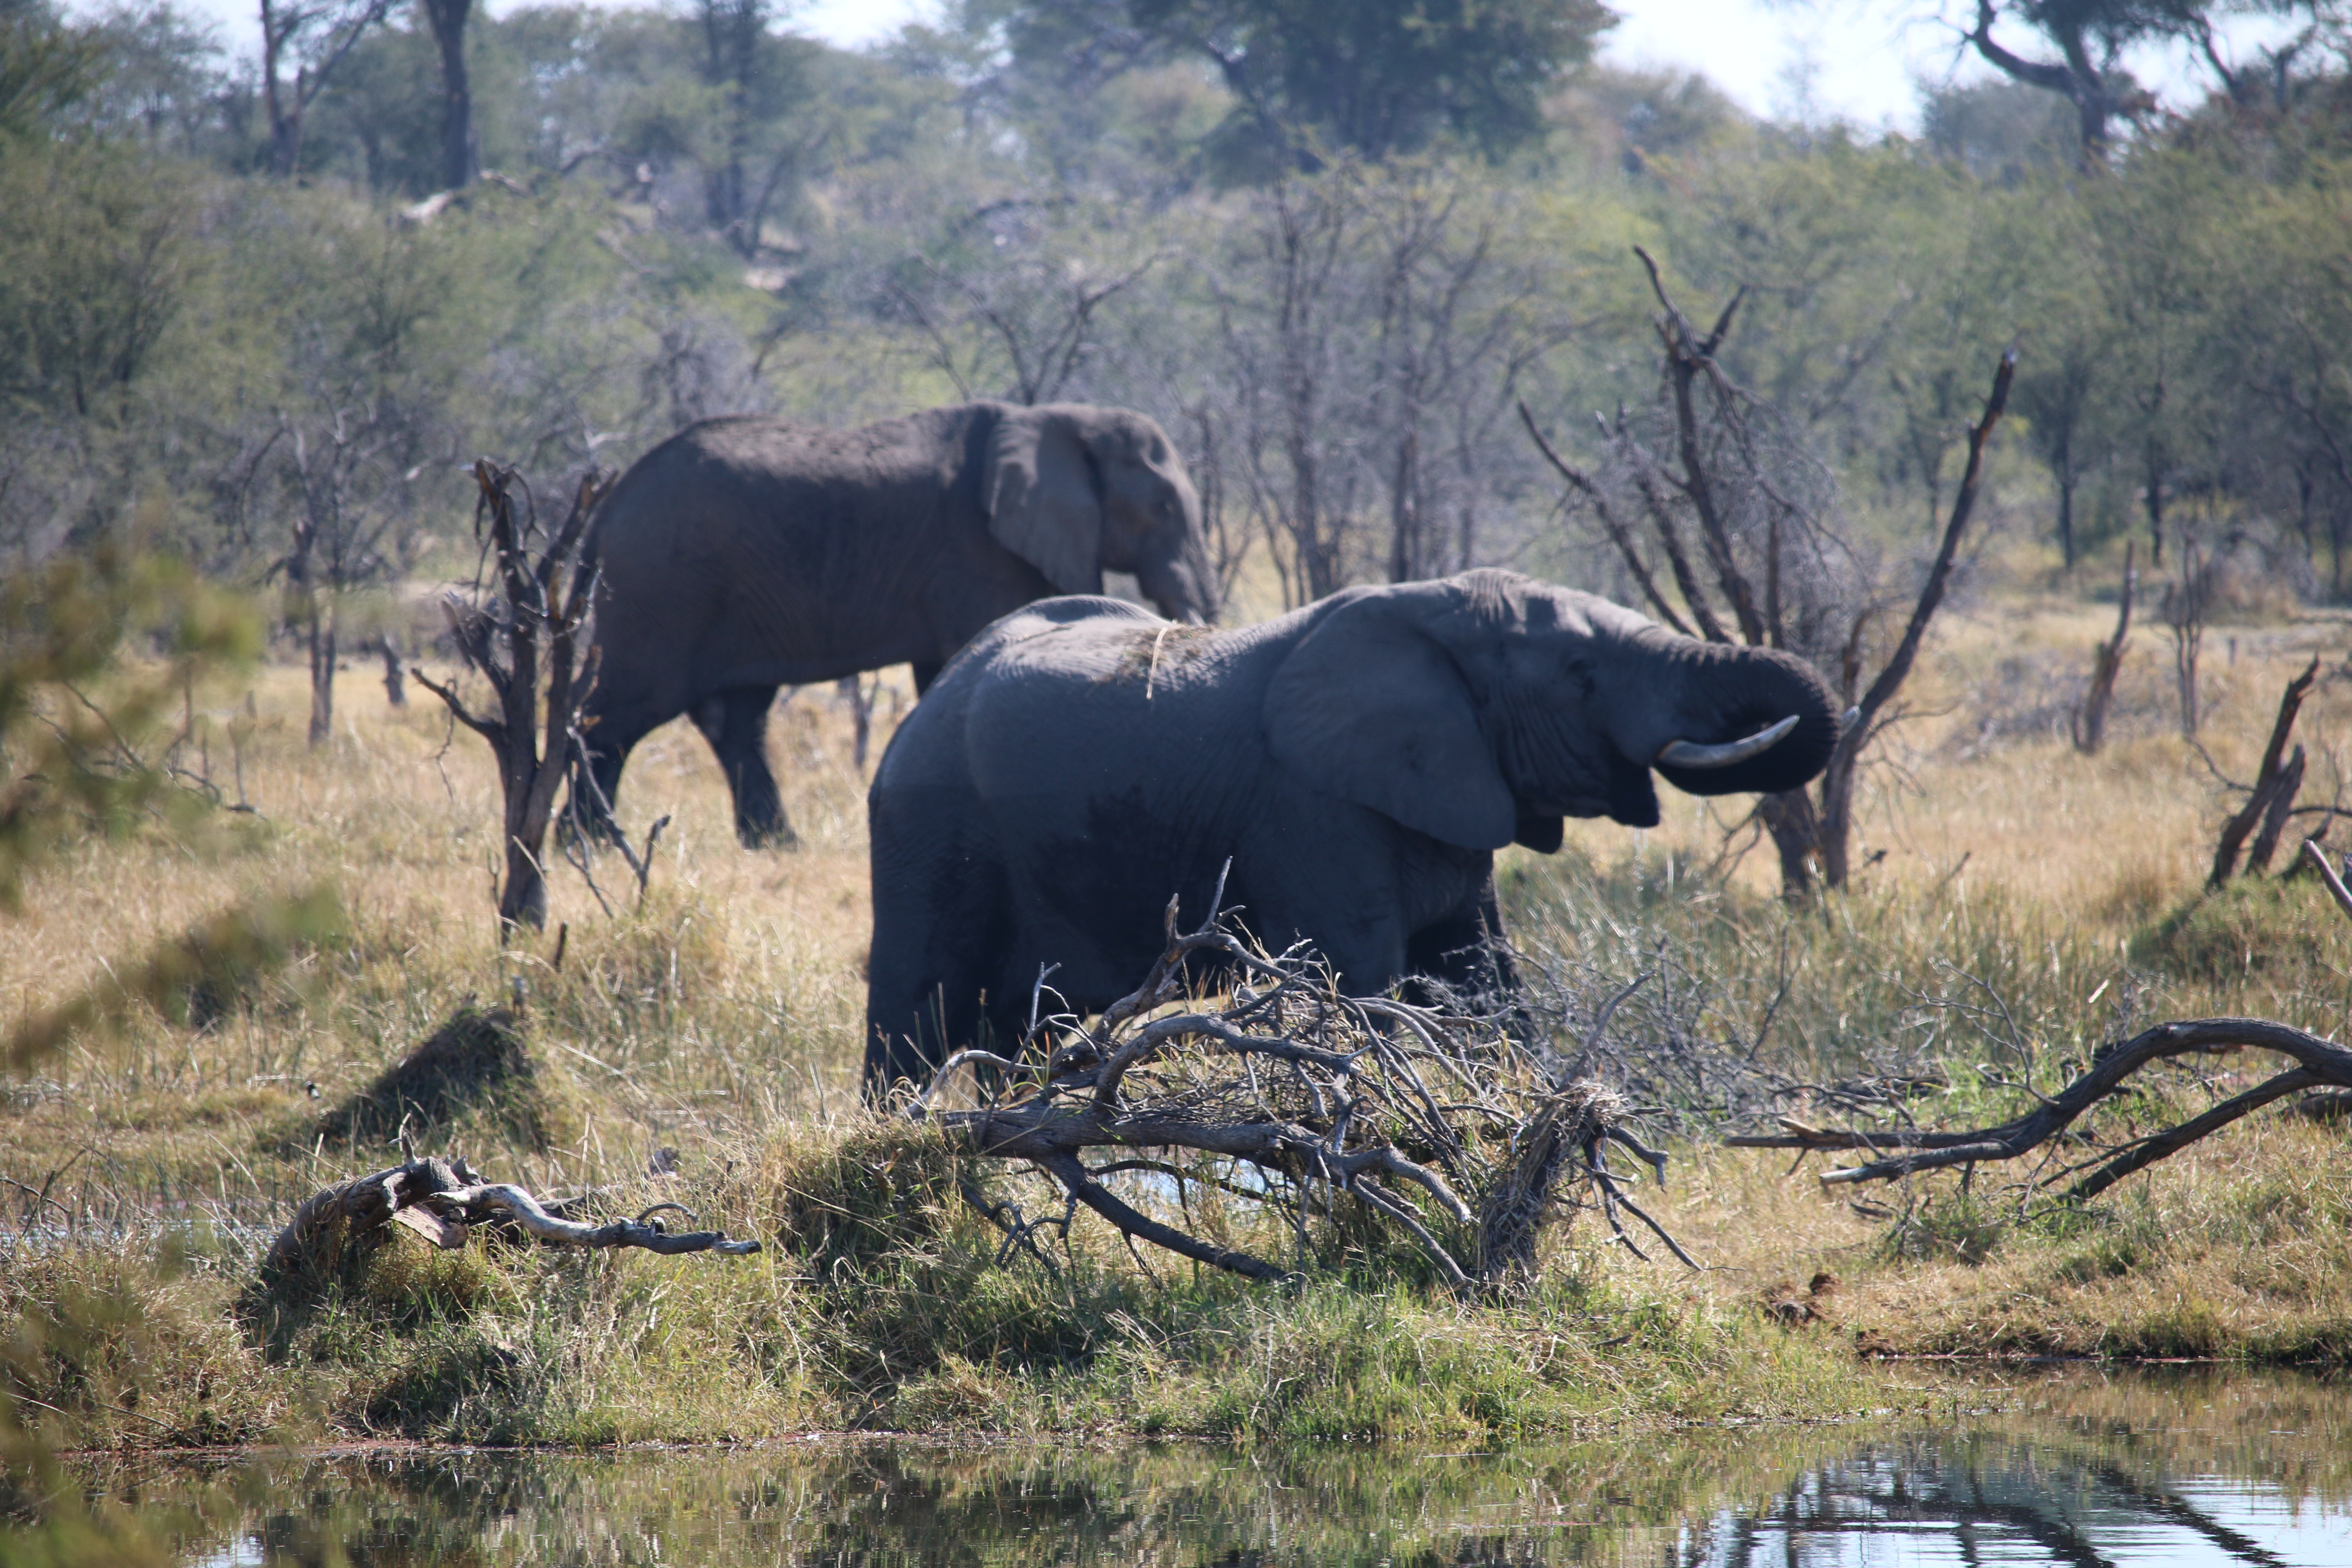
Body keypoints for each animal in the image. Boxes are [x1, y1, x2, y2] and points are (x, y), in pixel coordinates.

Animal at [579, 399, 1223, 851]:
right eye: (1163, 506)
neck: (1059, 419)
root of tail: (607, 504)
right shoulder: (979, 552)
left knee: (736, 720)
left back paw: (776, 847)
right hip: (659, 586)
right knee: (618, 714)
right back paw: (589, 849)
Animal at [861, 564, 1834, 1090]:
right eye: (1582, 673)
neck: (1429, 608)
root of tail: (931, 694)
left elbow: (1485, 982)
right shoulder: (1313, 813)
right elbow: (1359, 984)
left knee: (1023, 1027)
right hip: (931, 825)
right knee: (916, 1006)